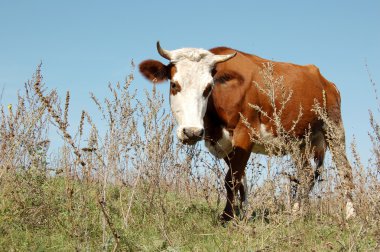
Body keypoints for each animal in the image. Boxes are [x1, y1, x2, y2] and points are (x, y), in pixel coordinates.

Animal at [140, 42, 356, 221]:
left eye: (208, 87)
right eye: (174, 84)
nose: (192, 132)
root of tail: (324, 80)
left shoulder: (245, 133)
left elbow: (232, 178)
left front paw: (226, 217)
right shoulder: (224, 143)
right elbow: (239, 179)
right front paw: (240, 213)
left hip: (334, 128)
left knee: (345, 170)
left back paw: (350, 215)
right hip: (298, 141)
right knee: (305, 173)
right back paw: (295, 214)